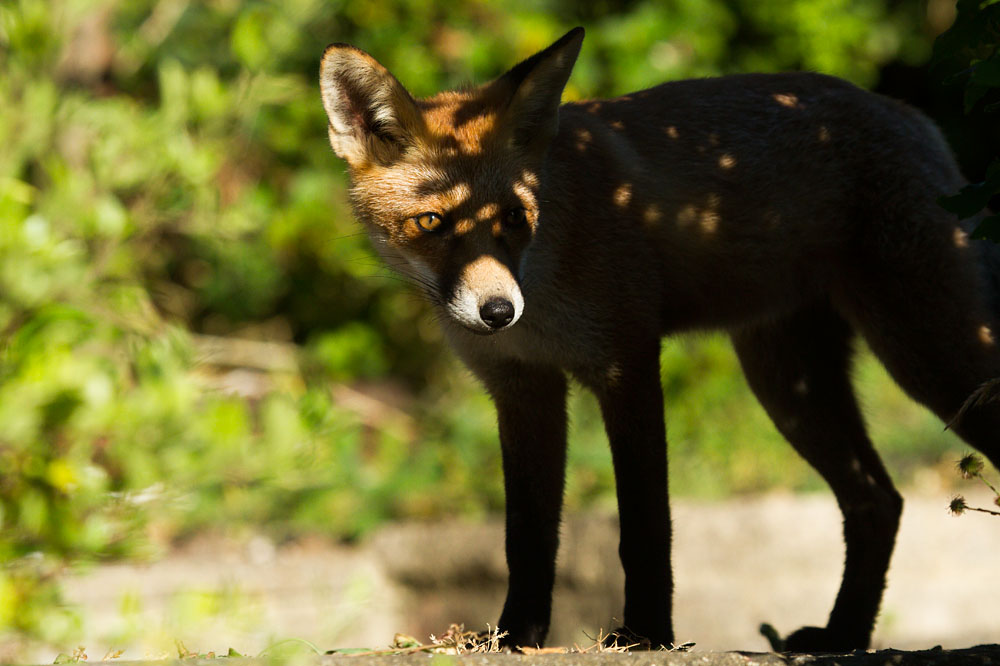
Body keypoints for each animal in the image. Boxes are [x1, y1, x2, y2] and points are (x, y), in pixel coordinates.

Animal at [318, 27, 1000, 652]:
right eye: (432, 222)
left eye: (514, 218)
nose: (498, 311)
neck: (547, 283)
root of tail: (903, 110)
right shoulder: (522, 387)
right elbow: (526, 534)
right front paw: (517, 636)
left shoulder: (628, 364)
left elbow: (644, 526)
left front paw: (647, 635)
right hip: (790, 386)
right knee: (878, 501)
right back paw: (841, 637)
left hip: (930, 355)